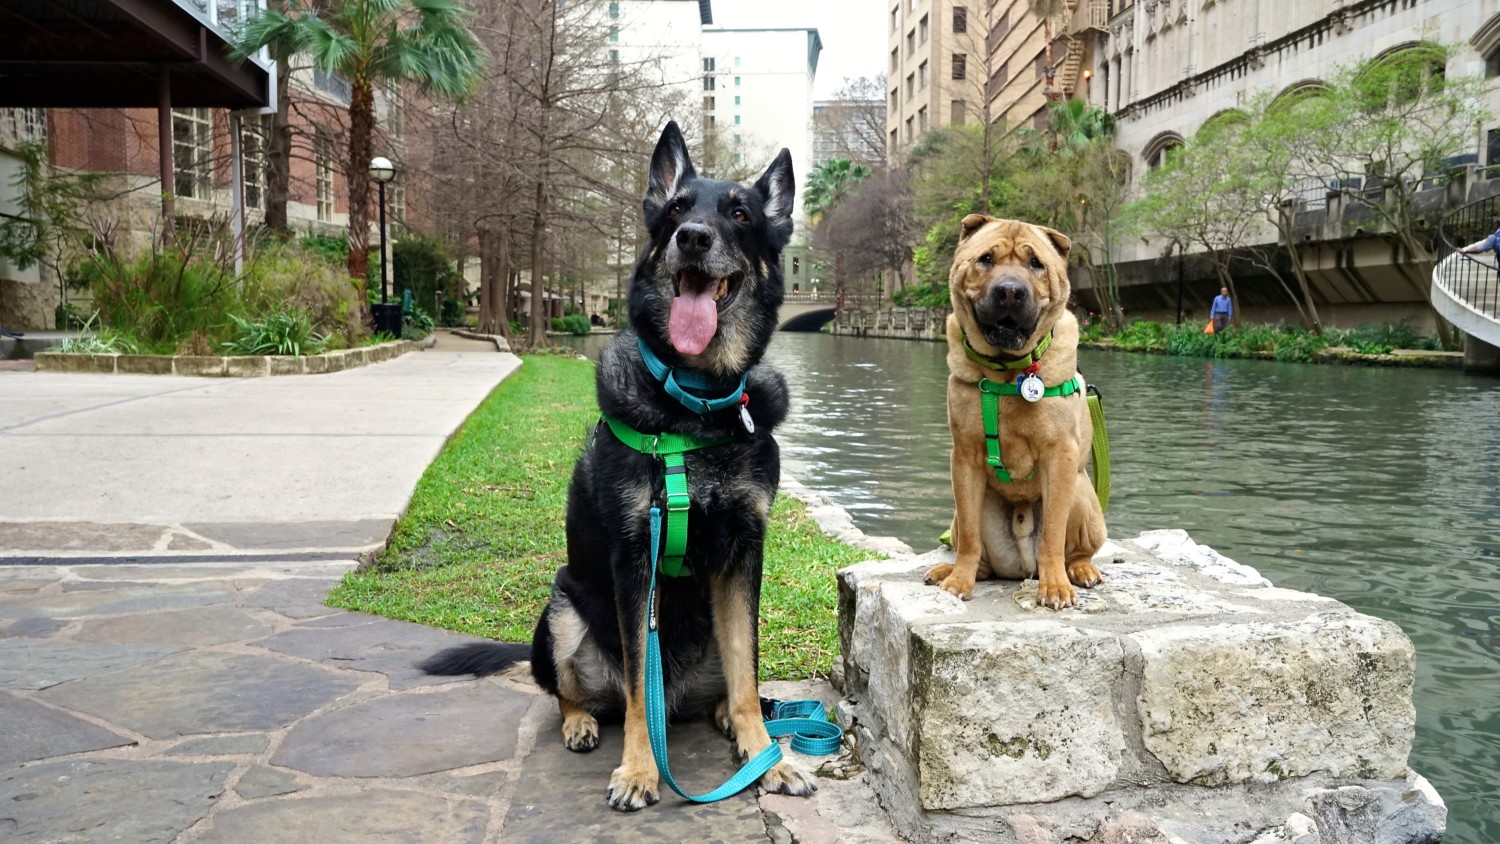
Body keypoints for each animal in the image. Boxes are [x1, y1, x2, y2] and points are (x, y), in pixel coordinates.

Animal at [423, 122, 816, 809]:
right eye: (677, 209)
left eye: (740, 213)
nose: (693, 237)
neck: (693, 406)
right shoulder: (636, 557)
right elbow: (637, 687)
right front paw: (638, 769)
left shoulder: (745, 553)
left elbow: (747, 672)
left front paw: (765, 756)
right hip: (560, 610)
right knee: (573, 693)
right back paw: (581, 722)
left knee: (722, 684)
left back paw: (726, 718)